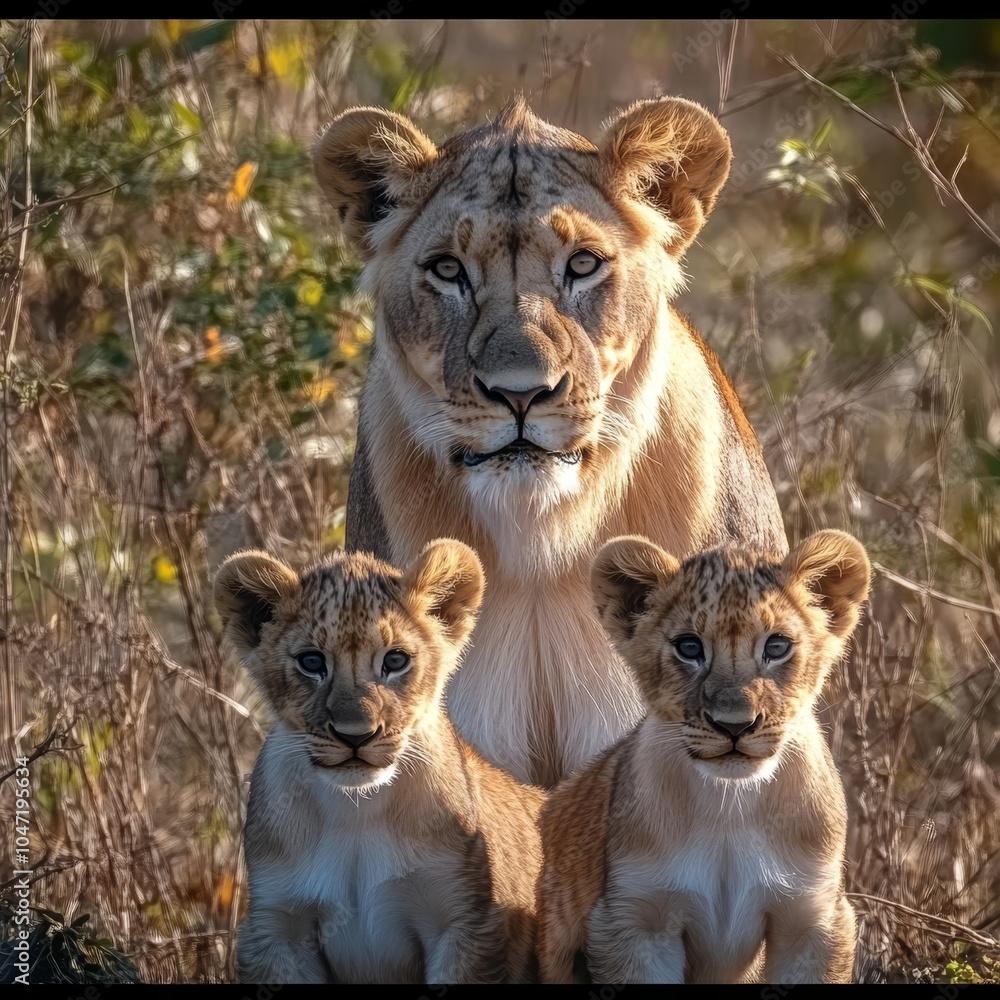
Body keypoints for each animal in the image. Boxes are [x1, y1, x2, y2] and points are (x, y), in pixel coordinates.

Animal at [213, 540, 544, 984]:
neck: (356, 809)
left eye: (396, 660)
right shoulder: (277, 930)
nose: (356, 735)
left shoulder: (463, 922)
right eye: (312, 662)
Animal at [536, 529, 871, 983]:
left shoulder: (812, 918)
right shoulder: (635, 922)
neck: (730, 805)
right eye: (689, 647)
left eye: (777, 646)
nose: (734, 725)